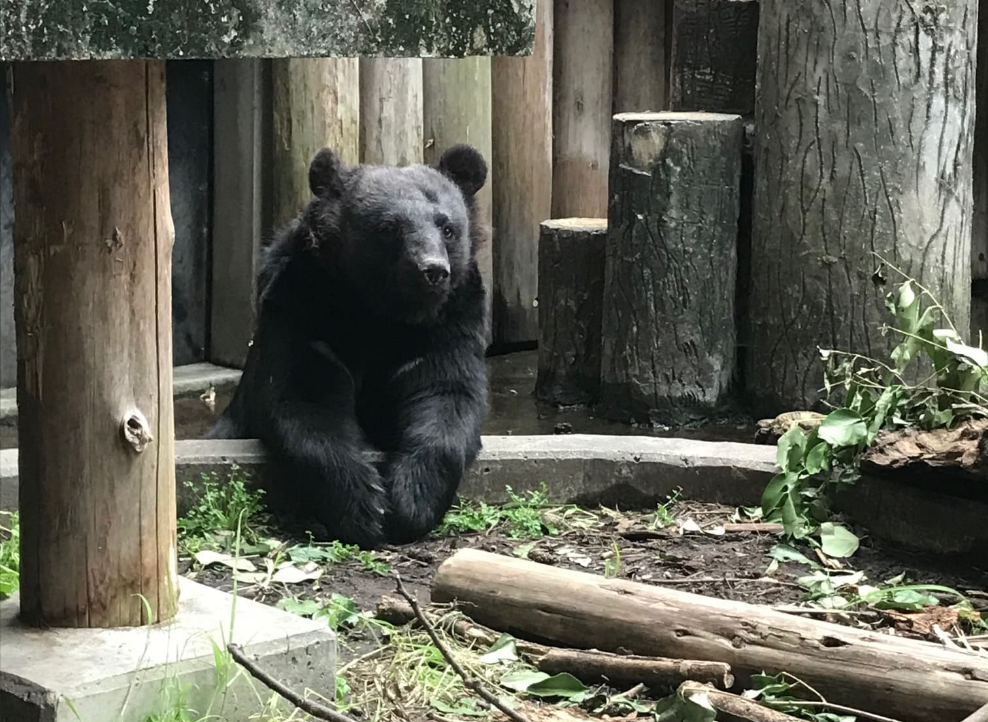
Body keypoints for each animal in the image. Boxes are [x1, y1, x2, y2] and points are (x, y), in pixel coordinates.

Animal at [208, 145, 490, 544]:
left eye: (448, 228)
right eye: (389, 228)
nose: (432, 271)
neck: (380, 313)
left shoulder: (449, 324)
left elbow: (445, 394)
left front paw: (411, 500)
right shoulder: (303, 313)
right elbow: (304, 398)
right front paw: (365, 506)